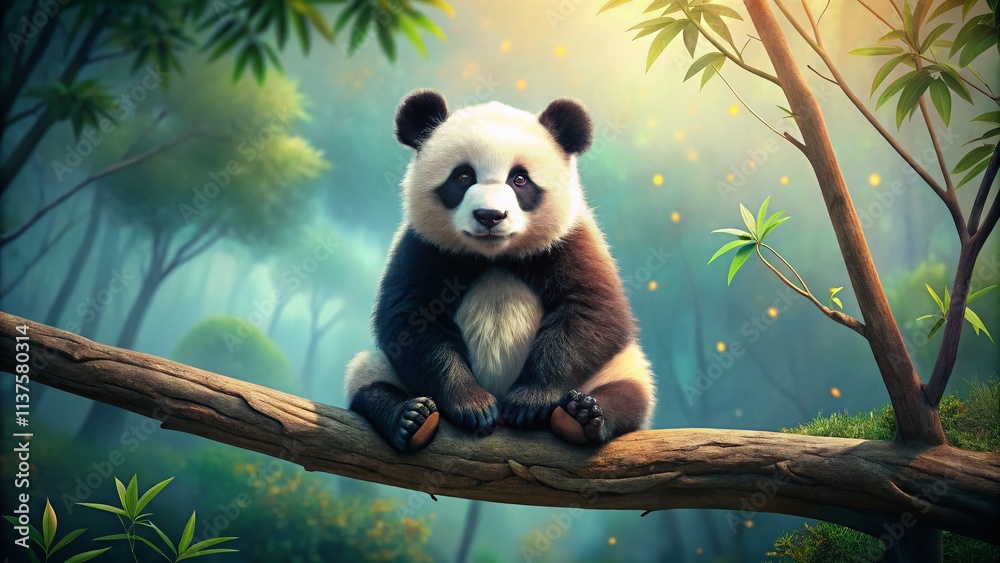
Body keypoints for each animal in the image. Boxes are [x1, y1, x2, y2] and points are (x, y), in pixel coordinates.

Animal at [345, 90, 656, 452]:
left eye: (519, 179)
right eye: (463, 177)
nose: (489, 216)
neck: (495, 255)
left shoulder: (570, 241)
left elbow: (590, 310)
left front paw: (529, 402)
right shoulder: (423, 248)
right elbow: (410, 319)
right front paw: (473, 405)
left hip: (615, 369)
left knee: (632, 388)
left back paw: (581, 415)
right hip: (383, 366)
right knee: (368, 375)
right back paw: (411, 417)